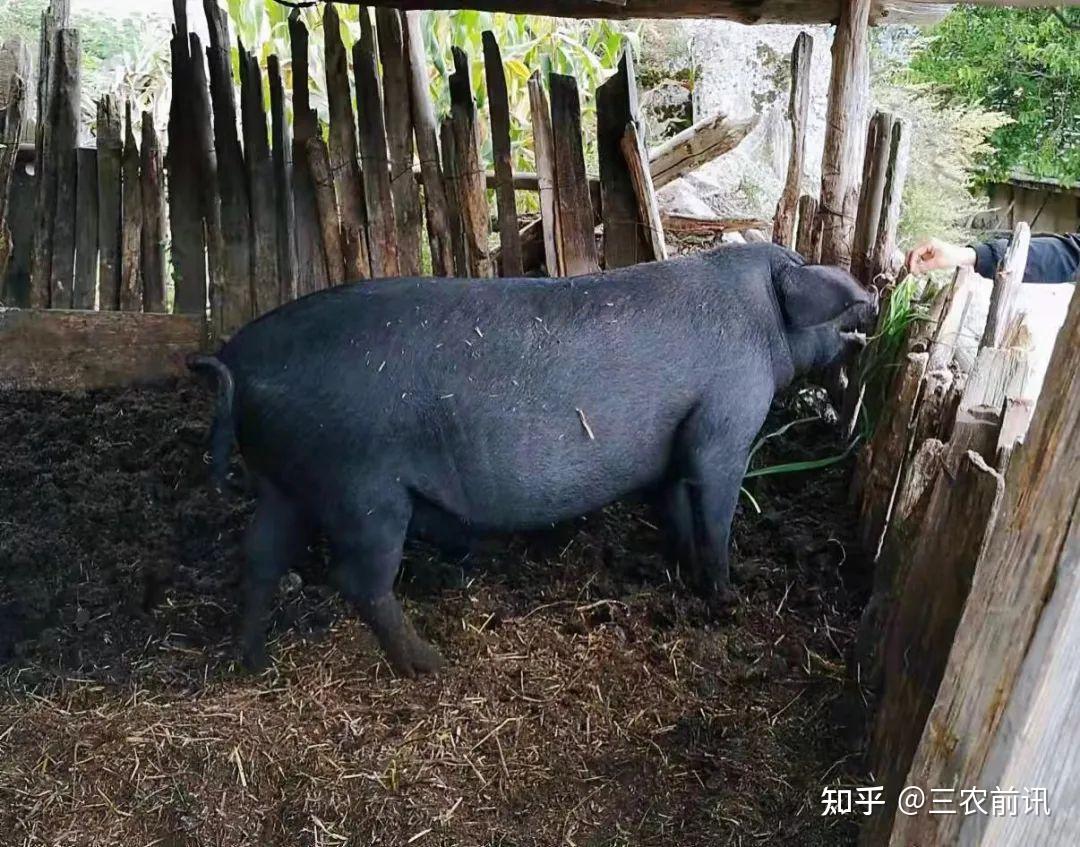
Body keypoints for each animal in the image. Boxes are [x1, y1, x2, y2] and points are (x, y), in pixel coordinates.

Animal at [190, 243, 872, 674]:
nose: (873, 298)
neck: (762, 316)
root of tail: (238, 363)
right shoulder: (726, 419)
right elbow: (714, 504)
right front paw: (728, 595)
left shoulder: (670, 448)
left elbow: (672, 503)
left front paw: (678, 568)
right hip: (359, 490)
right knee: (358, 580)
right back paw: (431, 666)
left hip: (283, 481)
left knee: (260, 557)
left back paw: (252, 663)